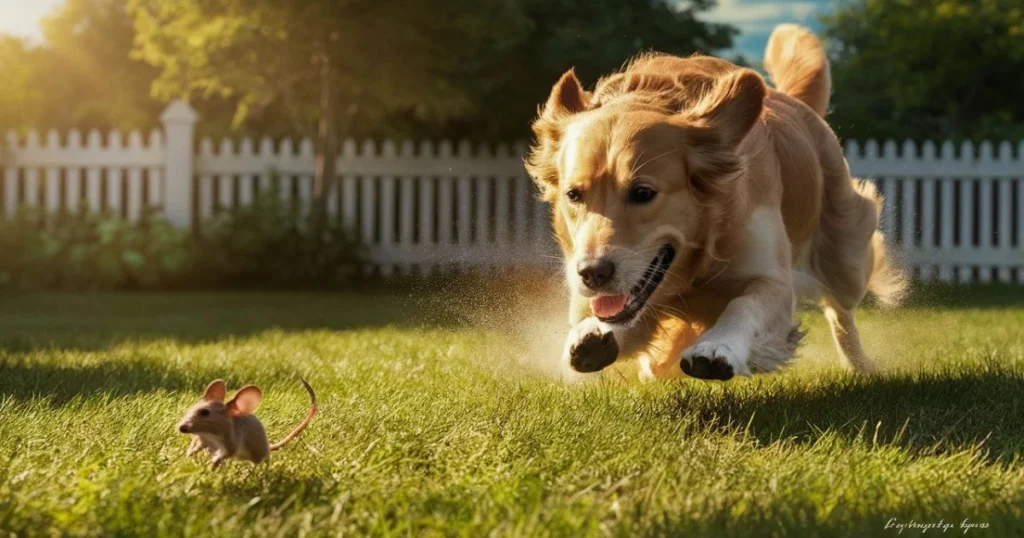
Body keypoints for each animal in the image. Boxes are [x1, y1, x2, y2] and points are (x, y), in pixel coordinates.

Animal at [528, 23, 905, 379]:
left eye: (643, 193)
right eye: (574, 195)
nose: (592, 274)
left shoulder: (774, 281)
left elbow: (743, 306)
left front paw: (717, 347)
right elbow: (609, 317)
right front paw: (592, 332)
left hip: (845, 258)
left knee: (841, 310)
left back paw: (860, 365)